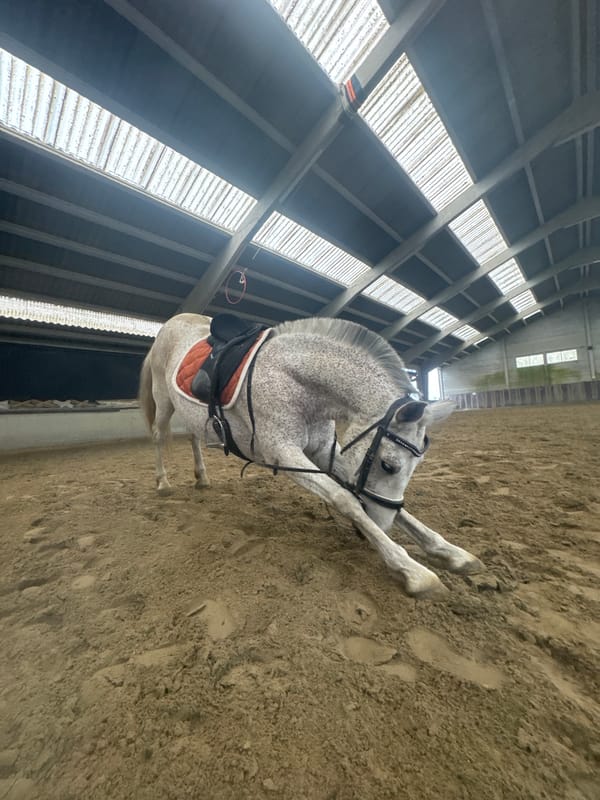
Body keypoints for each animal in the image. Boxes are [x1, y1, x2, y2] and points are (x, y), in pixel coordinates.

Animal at [139, 313, 484, 599]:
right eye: (388, 465)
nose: (381, 523)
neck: (297, 383)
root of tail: (169, 325)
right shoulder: (285, 454)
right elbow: (345, 499)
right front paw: (413, 571)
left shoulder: (322, 451)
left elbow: (387, 507)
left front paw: (451, 553)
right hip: (164, 402)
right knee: (157, 437)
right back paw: (163, 483)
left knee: (194, 437)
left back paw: (202, 478)